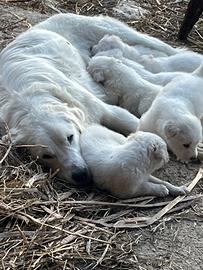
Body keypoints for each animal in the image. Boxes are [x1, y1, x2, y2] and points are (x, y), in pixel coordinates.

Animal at [0, 13, 187, 196]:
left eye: (70, 137)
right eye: (46, 156)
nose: (80, 175)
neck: (29, 102)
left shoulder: (105, 109)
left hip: (121, 32)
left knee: (167, 48)